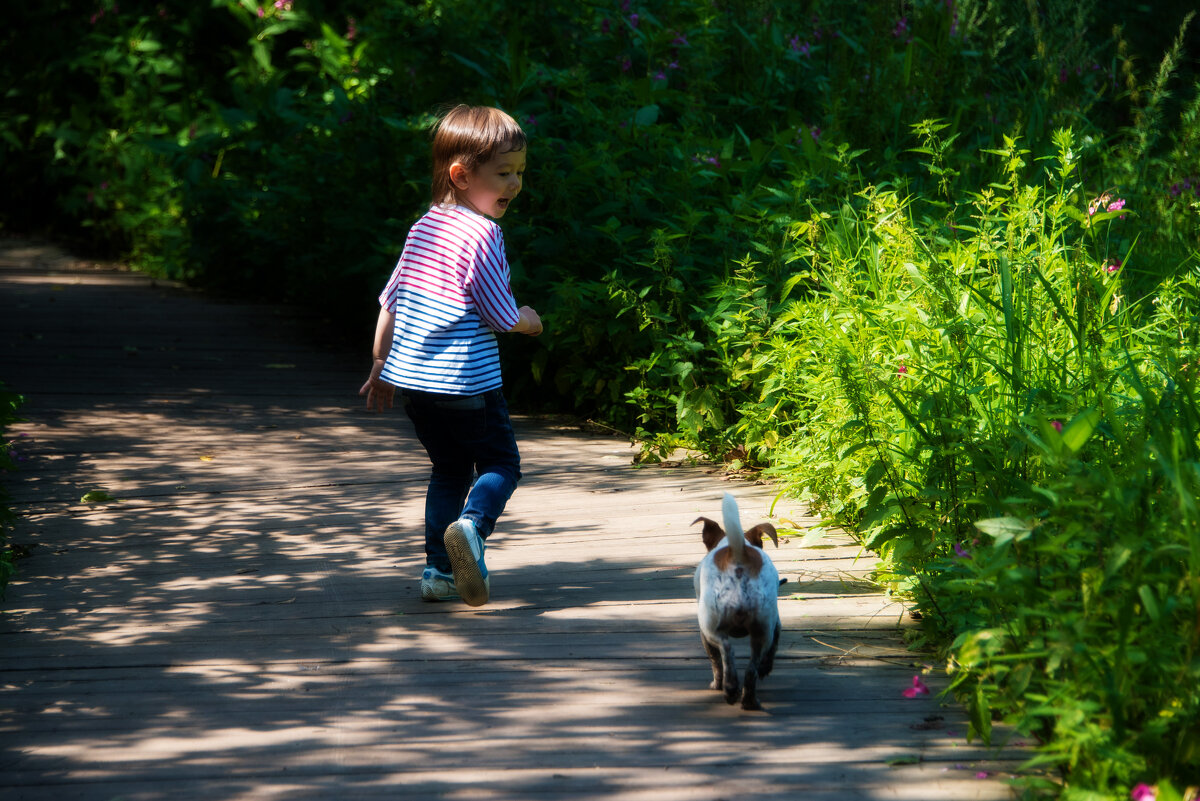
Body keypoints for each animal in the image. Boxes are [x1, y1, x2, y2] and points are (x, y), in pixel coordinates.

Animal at [696, 491, 777, 709]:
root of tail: (738, 558)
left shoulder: (704, 635)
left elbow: (715, 661)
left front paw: (716, 684)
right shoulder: (776, 624)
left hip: (711, 626)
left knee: (727, 651)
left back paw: (730, 688)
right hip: (762, 631)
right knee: (751, 670)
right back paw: (748, 700)